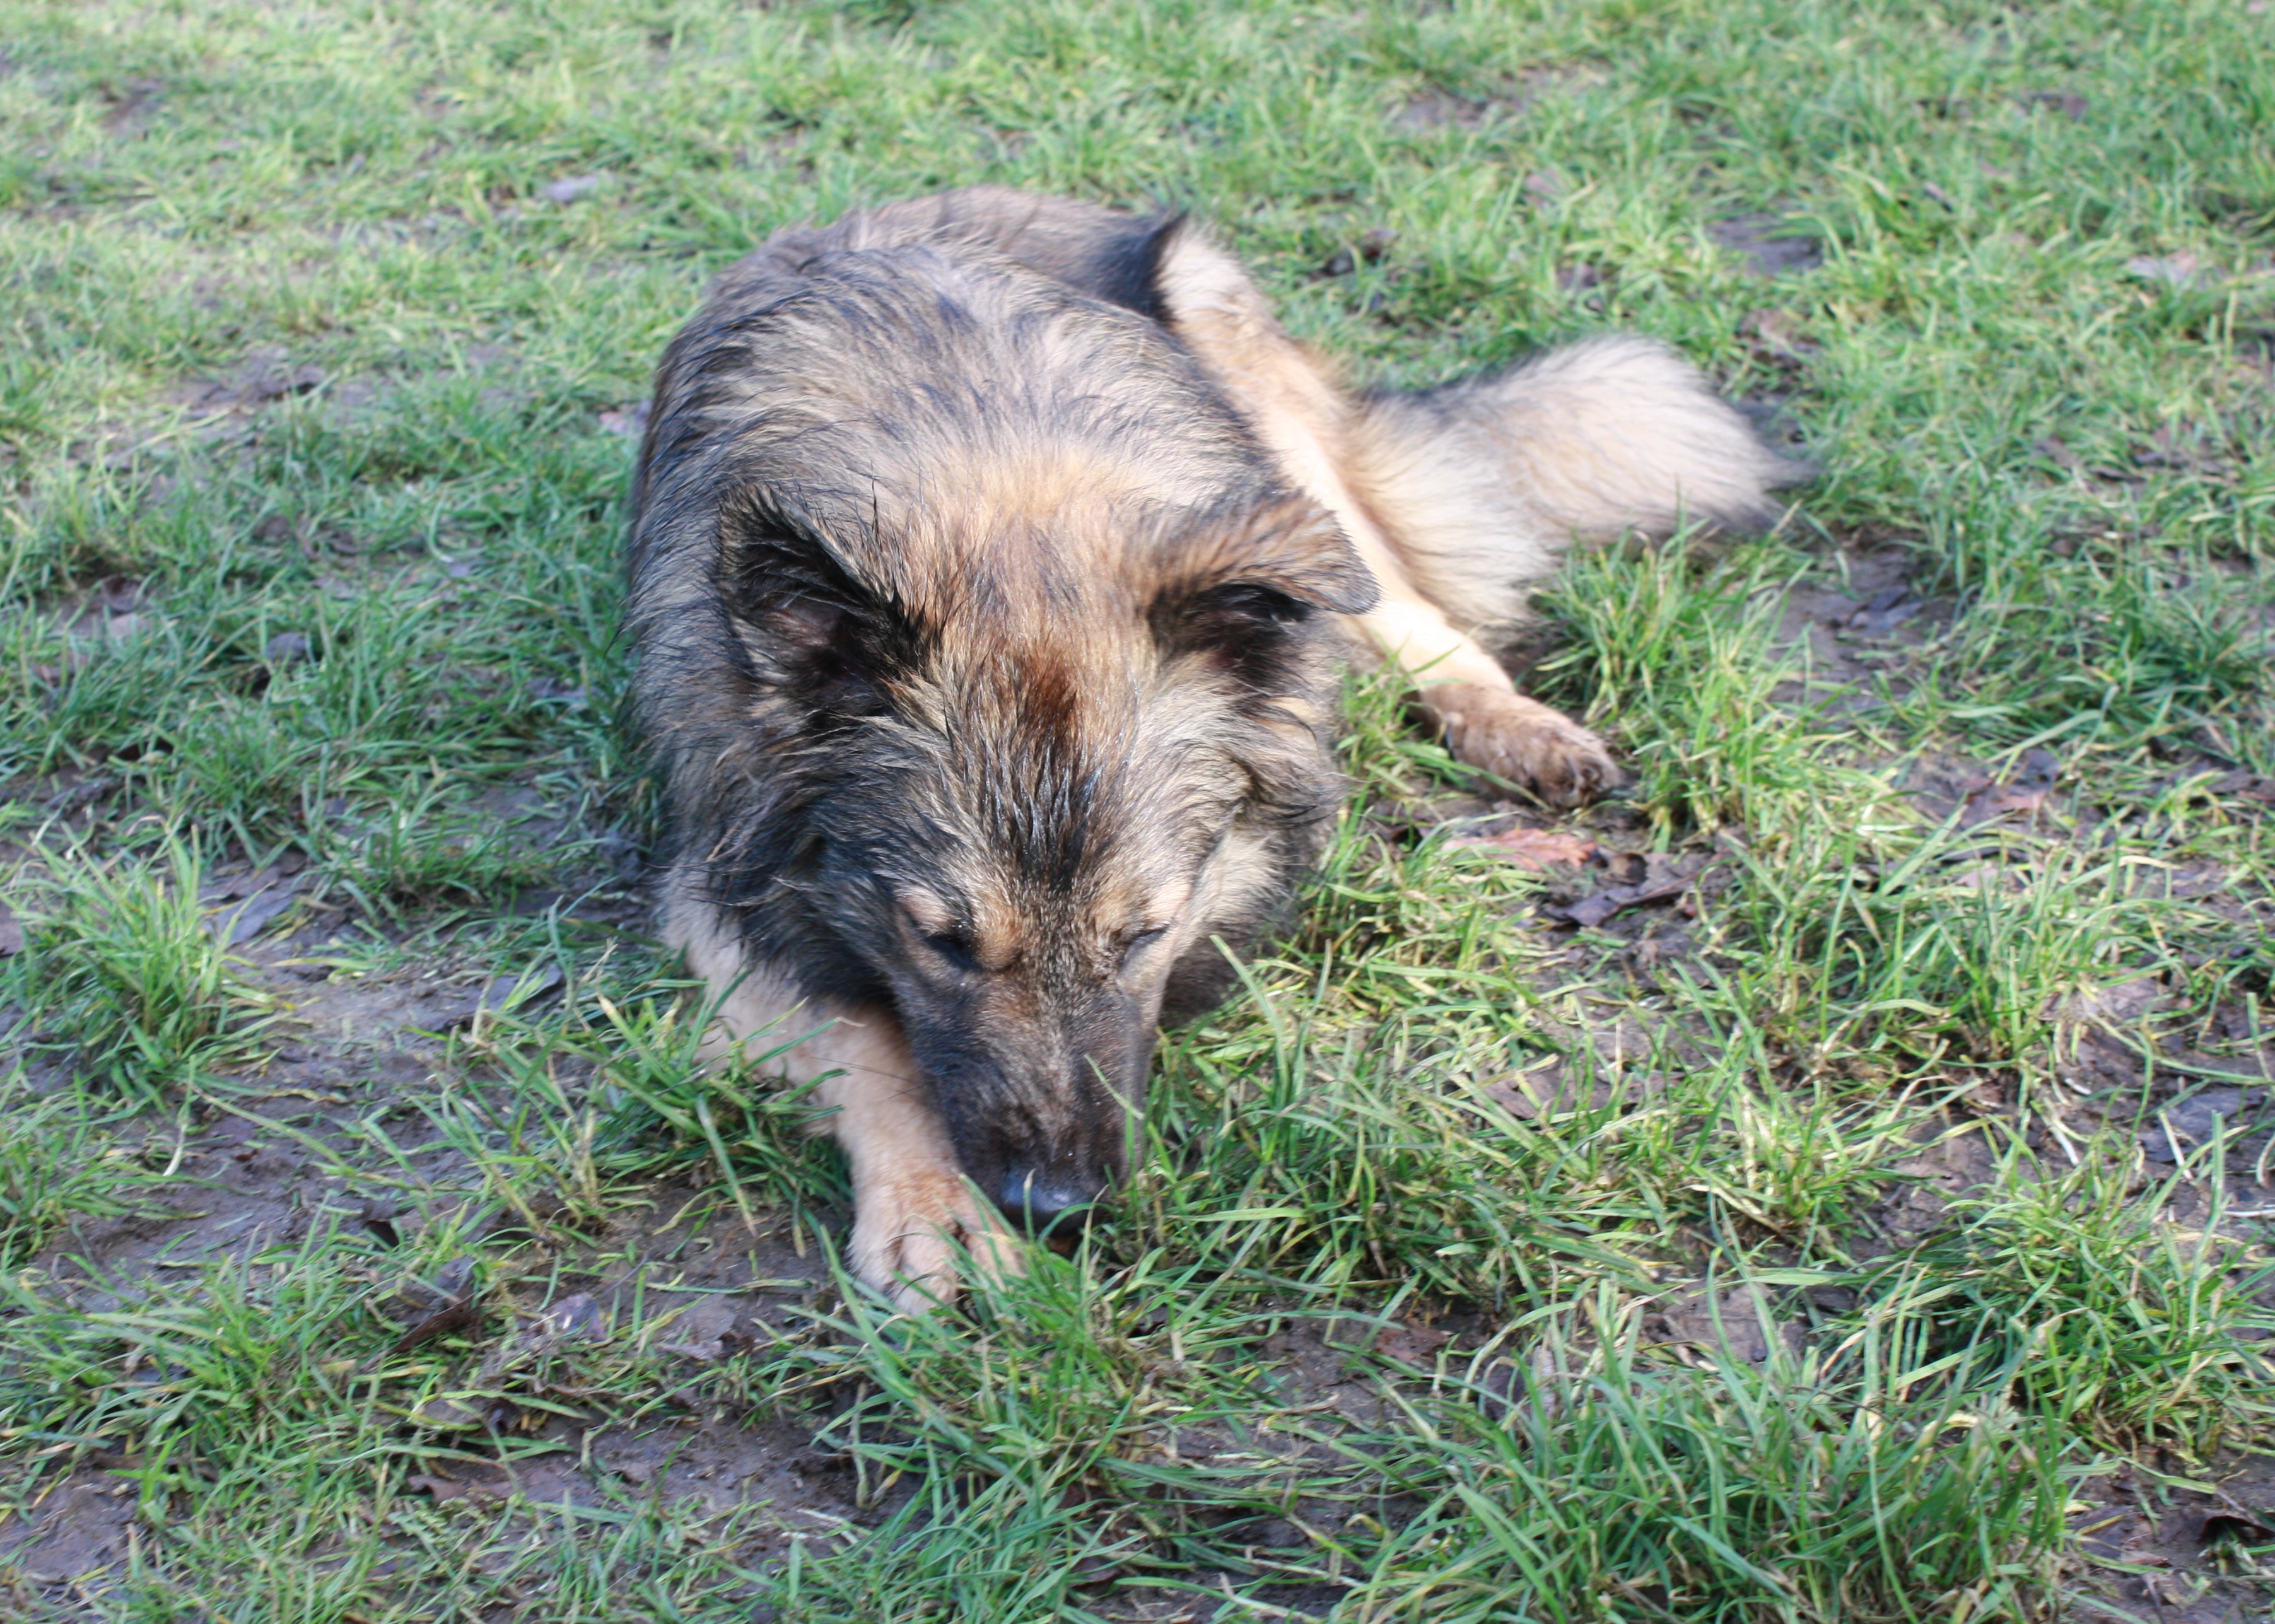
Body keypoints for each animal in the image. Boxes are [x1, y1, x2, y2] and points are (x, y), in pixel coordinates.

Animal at [627, 187, 1801, 1308]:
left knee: (1411, 609)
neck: (989, 469)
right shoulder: (722, 886)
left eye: (1146, 933)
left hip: (1275, 445)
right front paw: (932, 1207)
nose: (1059, 1204)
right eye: (943, 942)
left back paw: (1516, 723)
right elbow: (872, 1043)